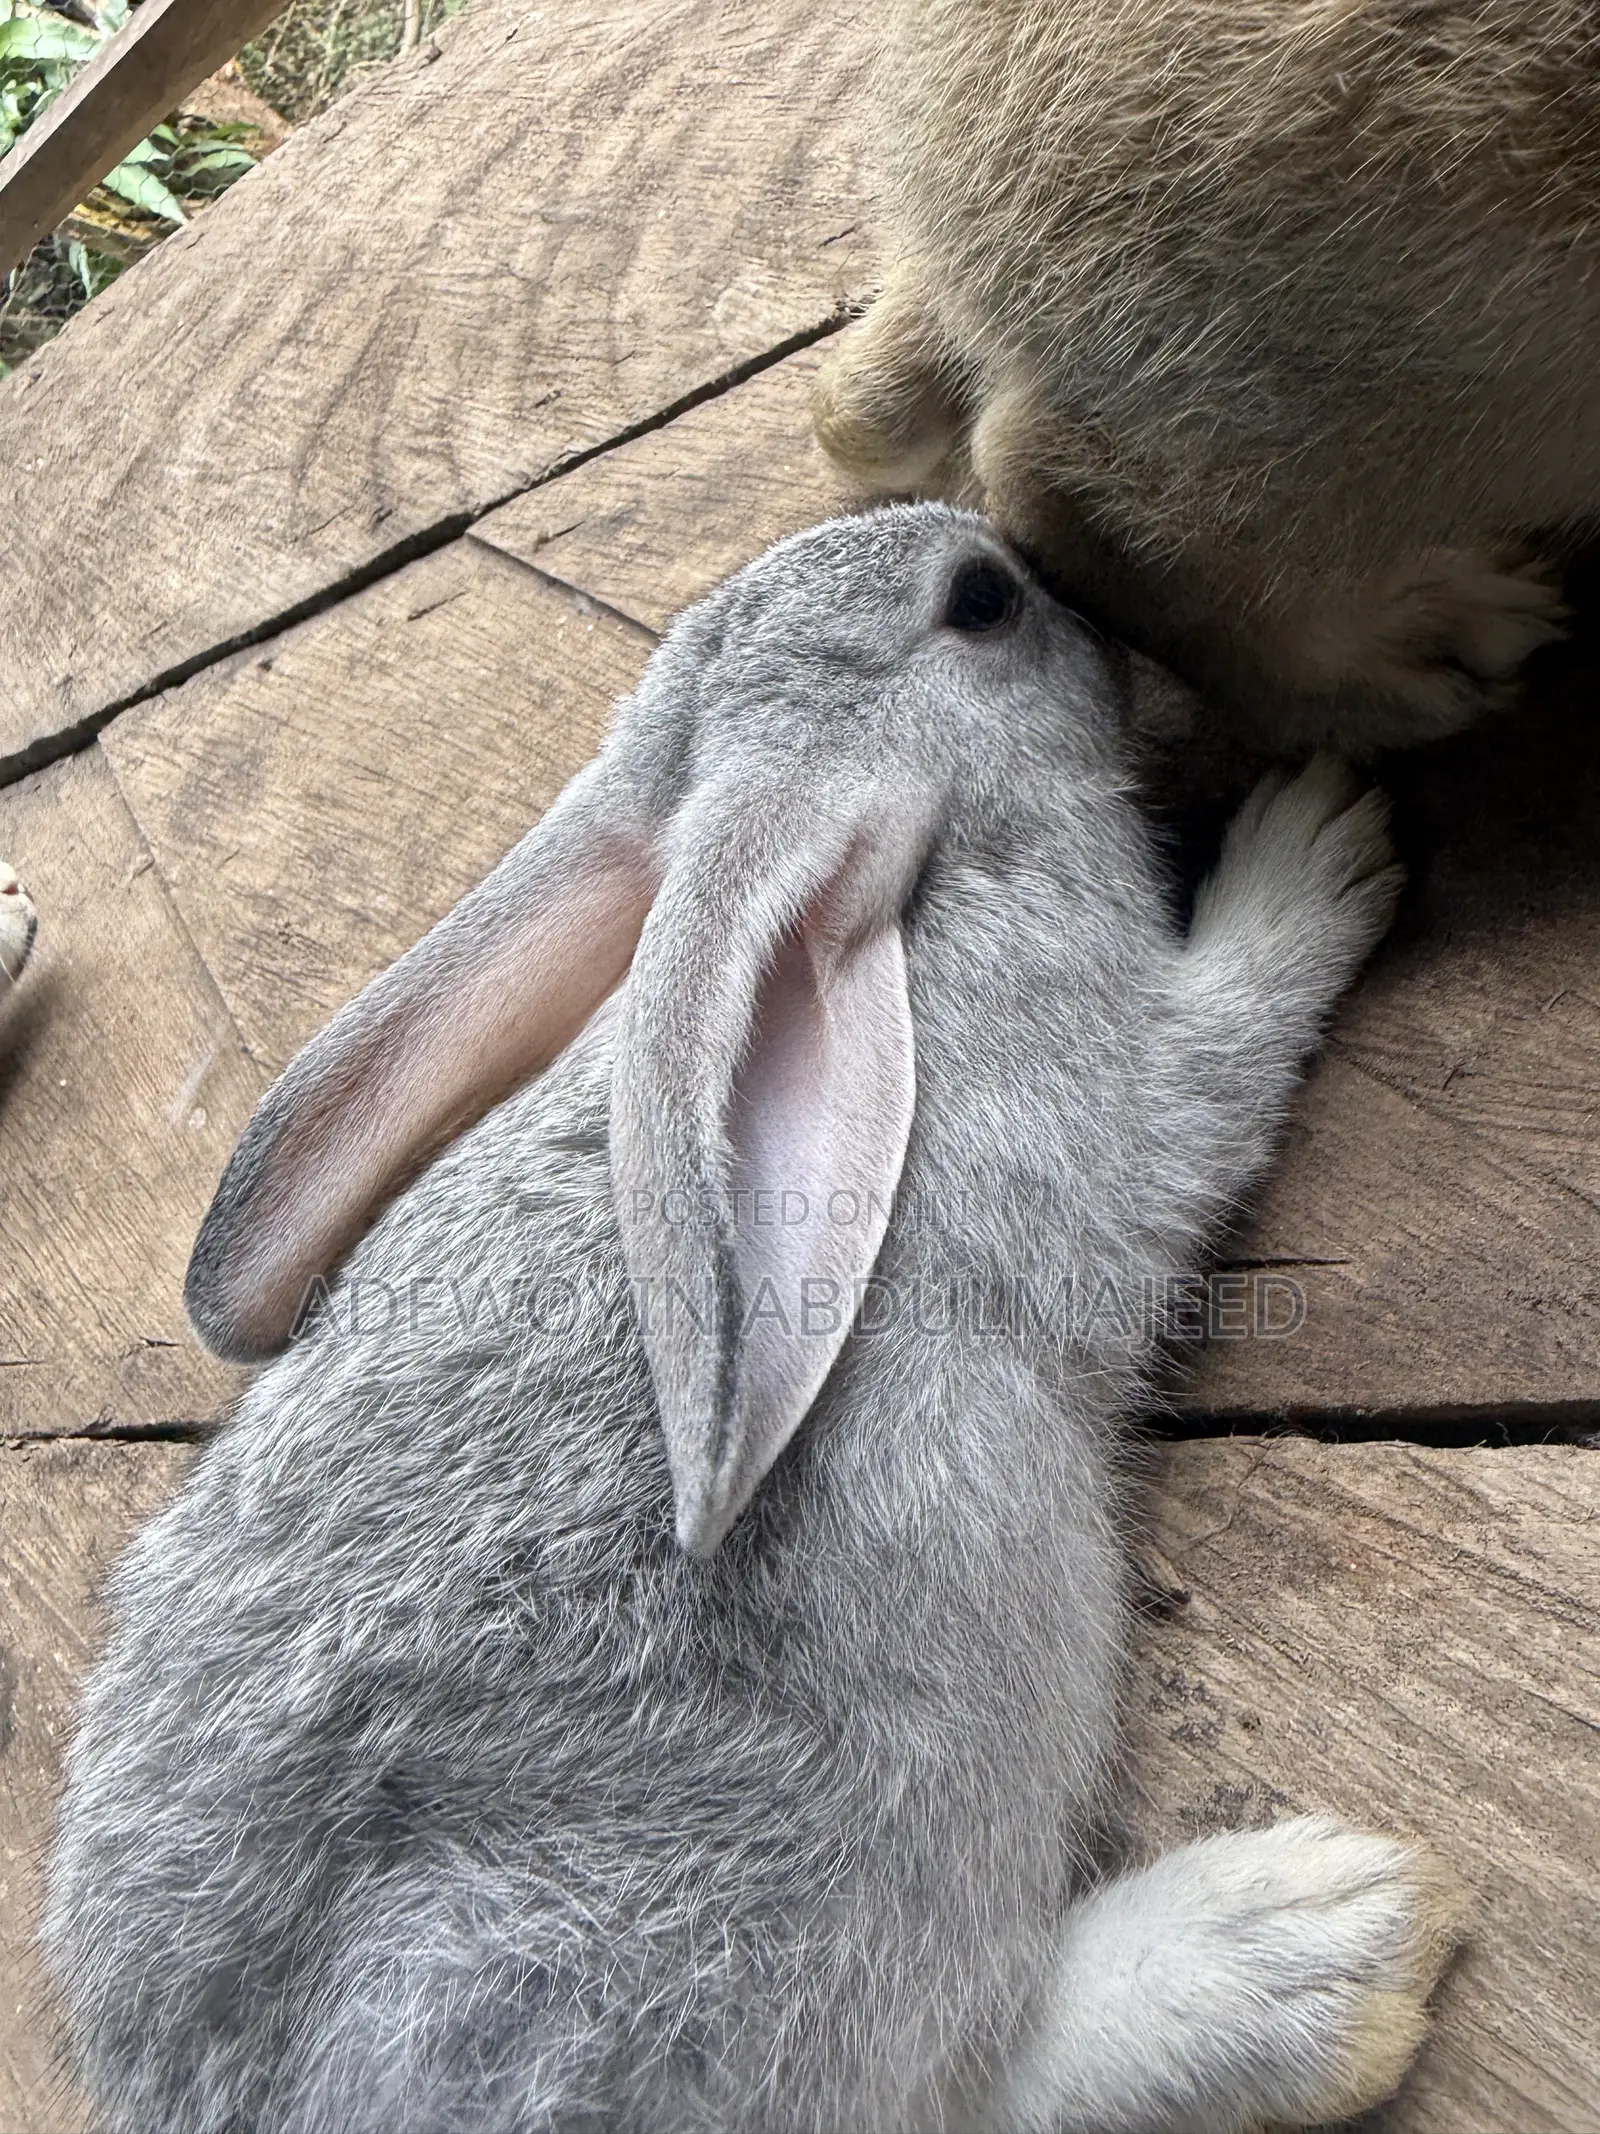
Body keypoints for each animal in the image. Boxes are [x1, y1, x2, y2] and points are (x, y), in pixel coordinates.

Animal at [46, 503, 1461, 2134]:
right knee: (951, 2073)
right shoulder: (1118, 1084)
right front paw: (1319, 837)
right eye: (979, 606)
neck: (919, 902)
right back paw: (1318, 1950)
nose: (1042, 571)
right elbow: (1219, 1053)